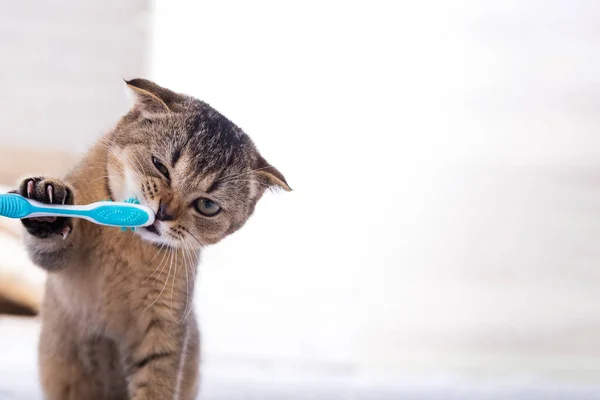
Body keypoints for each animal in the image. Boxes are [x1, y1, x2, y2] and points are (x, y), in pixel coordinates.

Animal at [15, 79, 292, 400]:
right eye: (160, 166)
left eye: (207, 206)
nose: (163, 213)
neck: (127, 243)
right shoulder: (60, 262)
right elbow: (49, 247)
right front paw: (48, 207)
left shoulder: (164, 324)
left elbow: (156, 382)